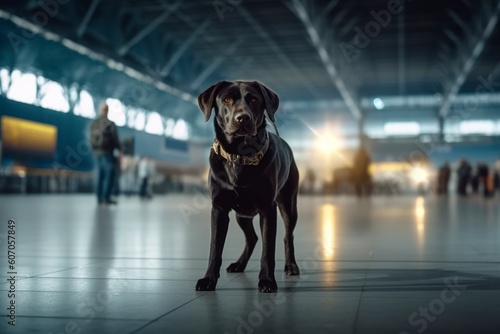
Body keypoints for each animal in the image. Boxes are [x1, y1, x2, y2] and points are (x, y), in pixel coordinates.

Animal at [194, 81, 296, 292]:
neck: (239, 156)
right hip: (242, 214)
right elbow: (214, 249)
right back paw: (239, 264)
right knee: (252, 238)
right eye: (226, 99)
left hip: (288, 205)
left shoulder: (268, 209)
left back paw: (291, 266)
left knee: (287, 236)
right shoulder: (219, 209)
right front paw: (208, 279)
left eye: (254, 100)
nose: (242, 117)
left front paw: (267, 280)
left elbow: (268, 250)